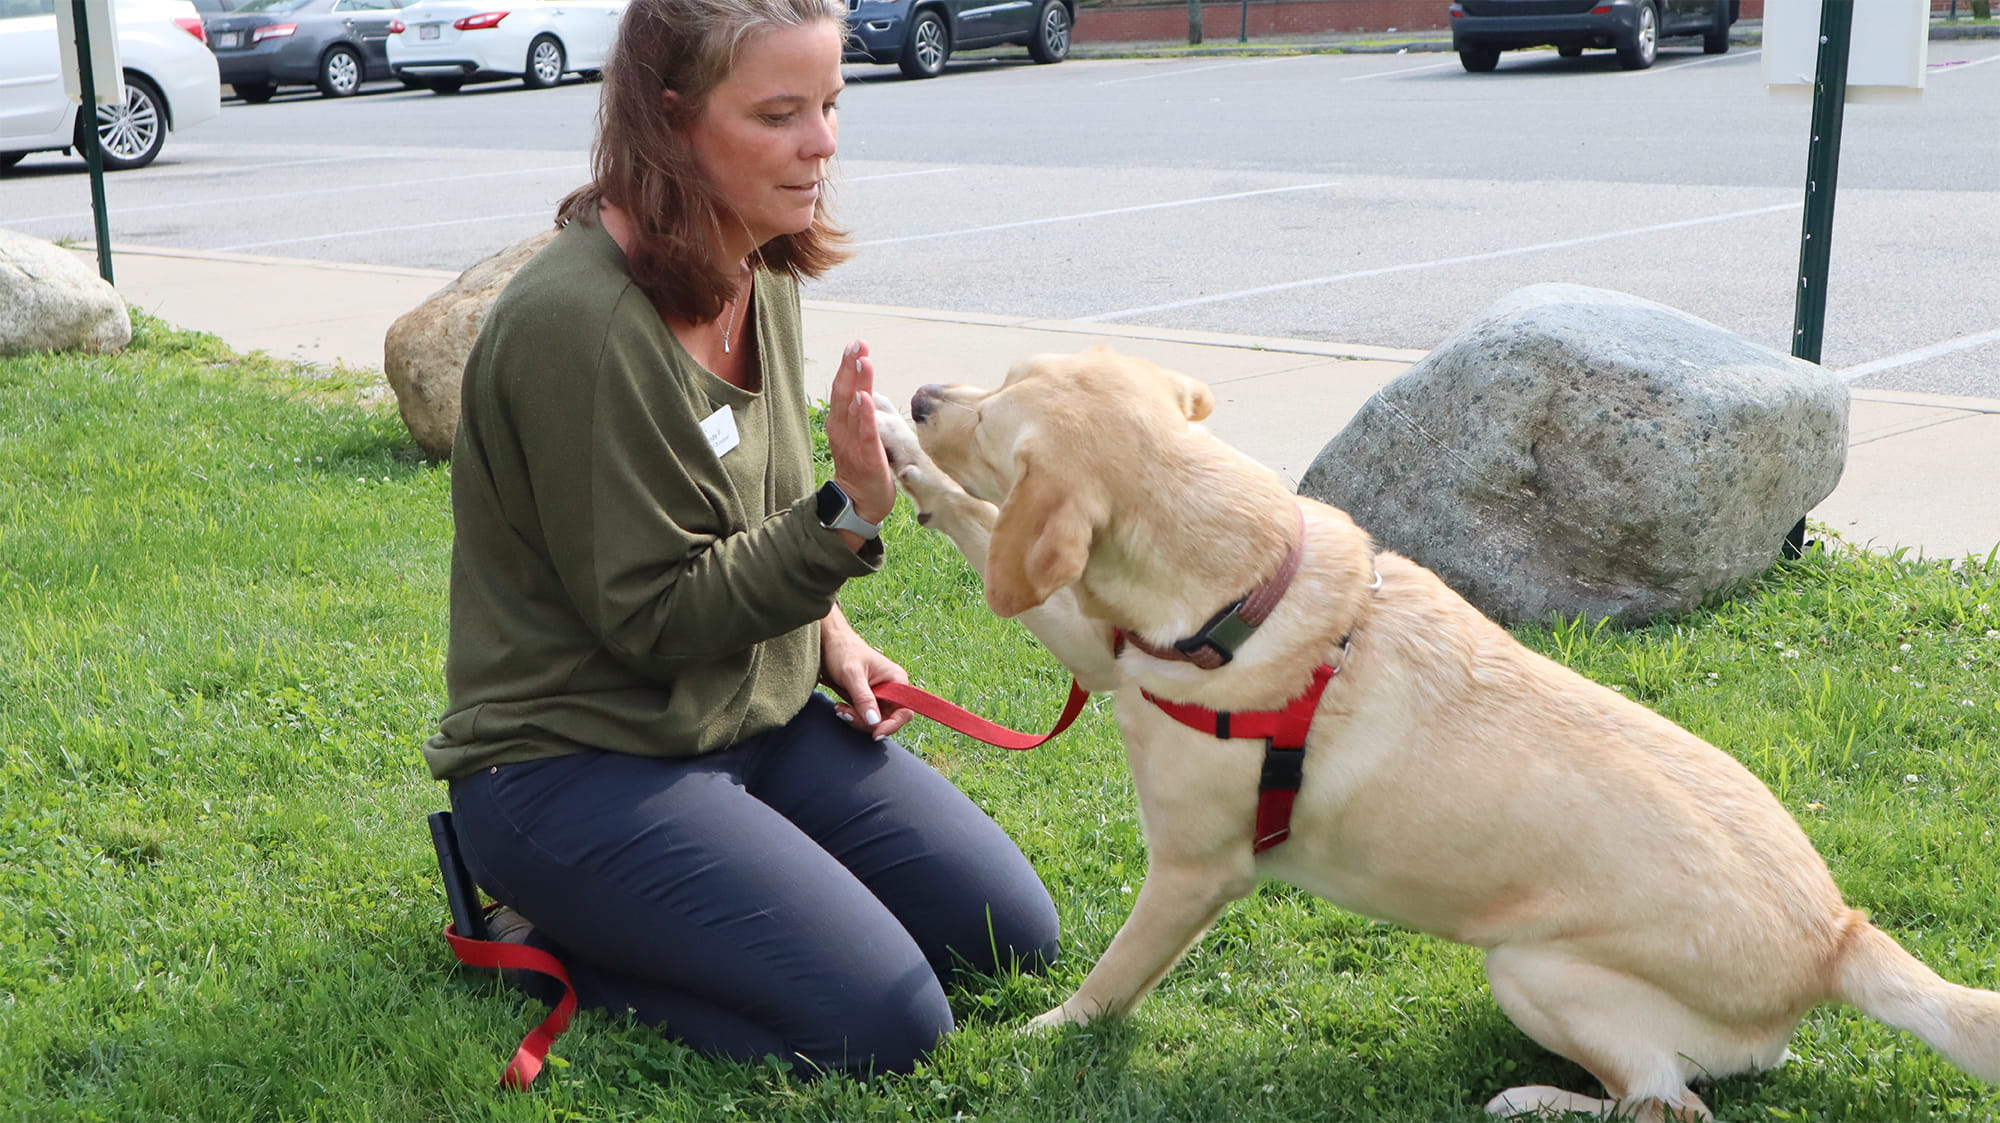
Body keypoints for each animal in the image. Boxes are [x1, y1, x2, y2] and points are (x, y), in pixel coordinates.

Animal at [884, 345, 2000, 1111]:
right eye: (999, 375)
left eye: (992, 425)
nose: (924, 395)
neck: (1243, 577)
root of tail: (1837, 933)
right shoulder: (1107, 650)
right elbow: (984, 541)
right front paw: (893, 452)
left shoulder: (1193, 872)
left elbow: (1111, 979)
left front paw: (1045, 1031)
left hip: (1531, 966)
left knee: (1666, 1105)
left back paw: (1535, 1102)